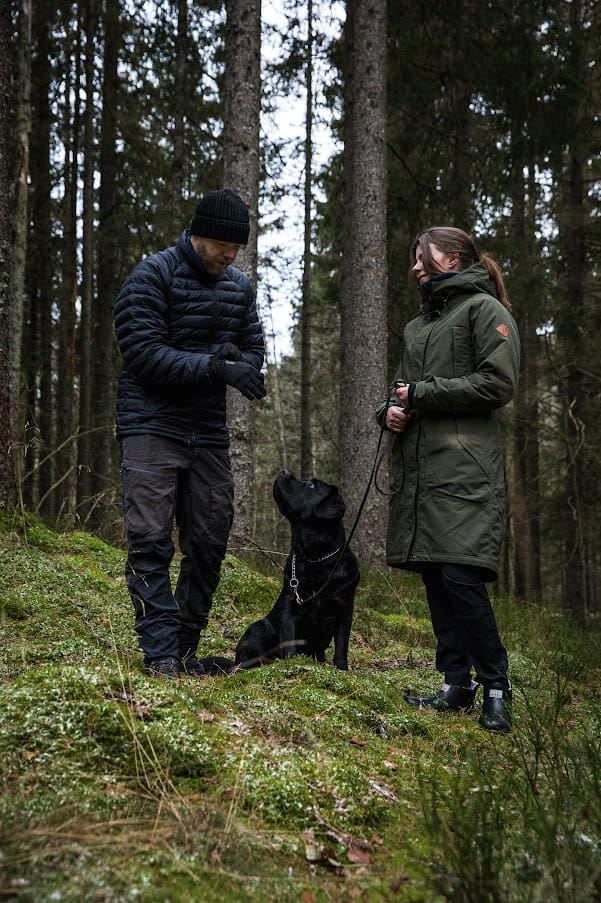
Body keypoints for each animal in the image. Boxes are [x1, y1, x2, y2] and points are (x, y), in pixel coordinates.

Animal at [232, 474, 358, 672]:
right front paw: (291, 663)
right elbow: (289, 641)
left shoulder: (345, 607)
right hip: (257, 628)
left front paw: (341, 668)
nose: (284, 472)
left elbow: (342, 644)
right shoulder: (289, 605)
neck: (316, 559)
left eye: (312, 485)